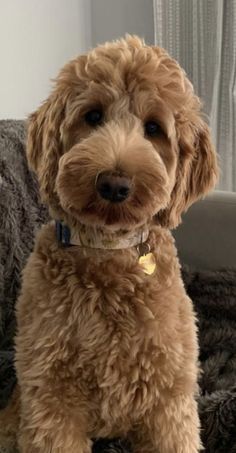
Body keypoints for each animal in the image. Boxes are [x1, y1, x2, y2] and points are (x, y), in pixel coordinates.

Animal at [14, 36, 218, 452]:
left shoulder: (168, 400)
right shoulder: (50, 401)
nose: (113, 184)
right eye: (92, 116)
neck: (106, 250)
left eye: (153, 128)